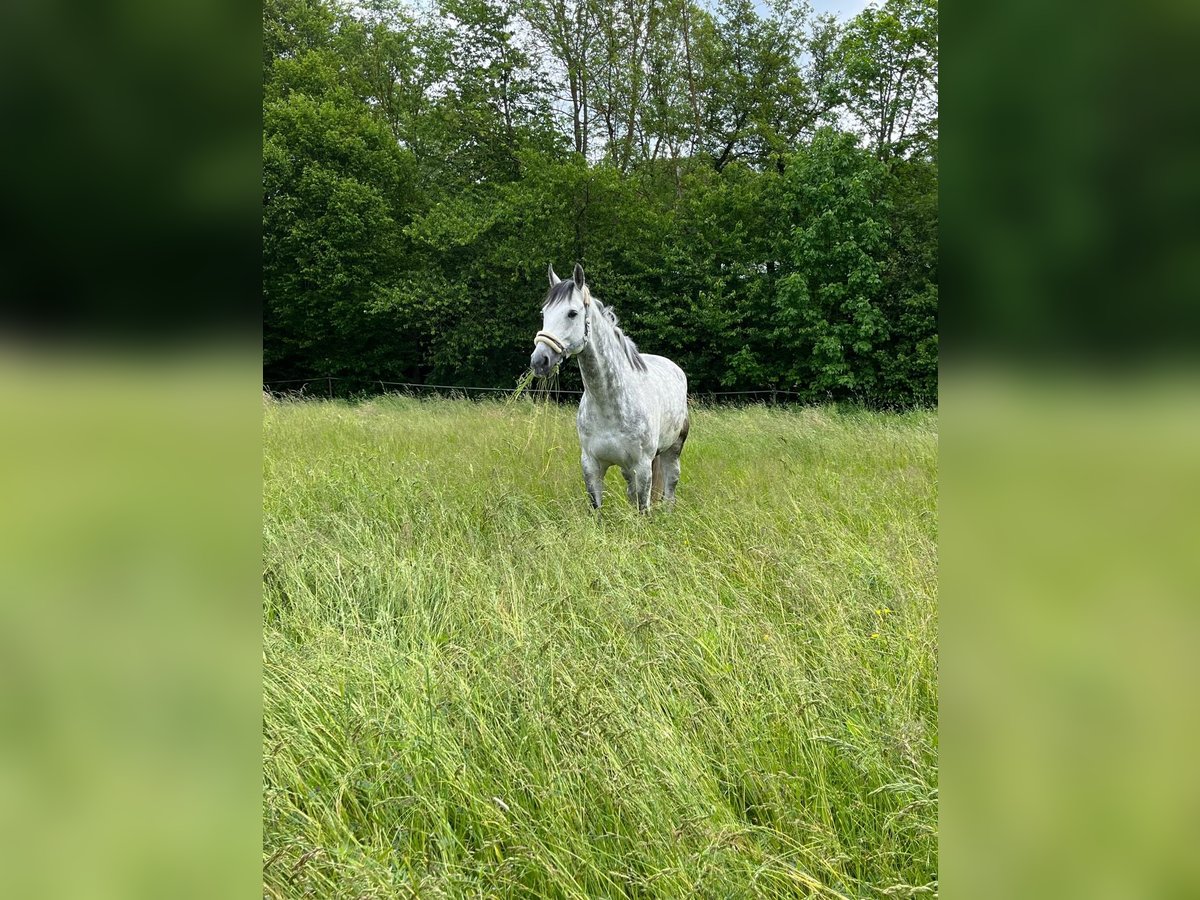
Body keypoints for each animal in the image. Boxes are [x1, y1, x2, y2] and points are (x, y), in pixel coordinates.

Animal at [530, 264, 691, 511]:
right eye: (544, 313)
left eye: (572, 313)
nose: (539, 360)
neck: (608, 402)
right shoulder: (591, 466)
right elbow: (597, 509)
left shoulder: (643, 467)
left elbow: (643, 508)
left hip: (672, 451)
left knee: (670, 486)